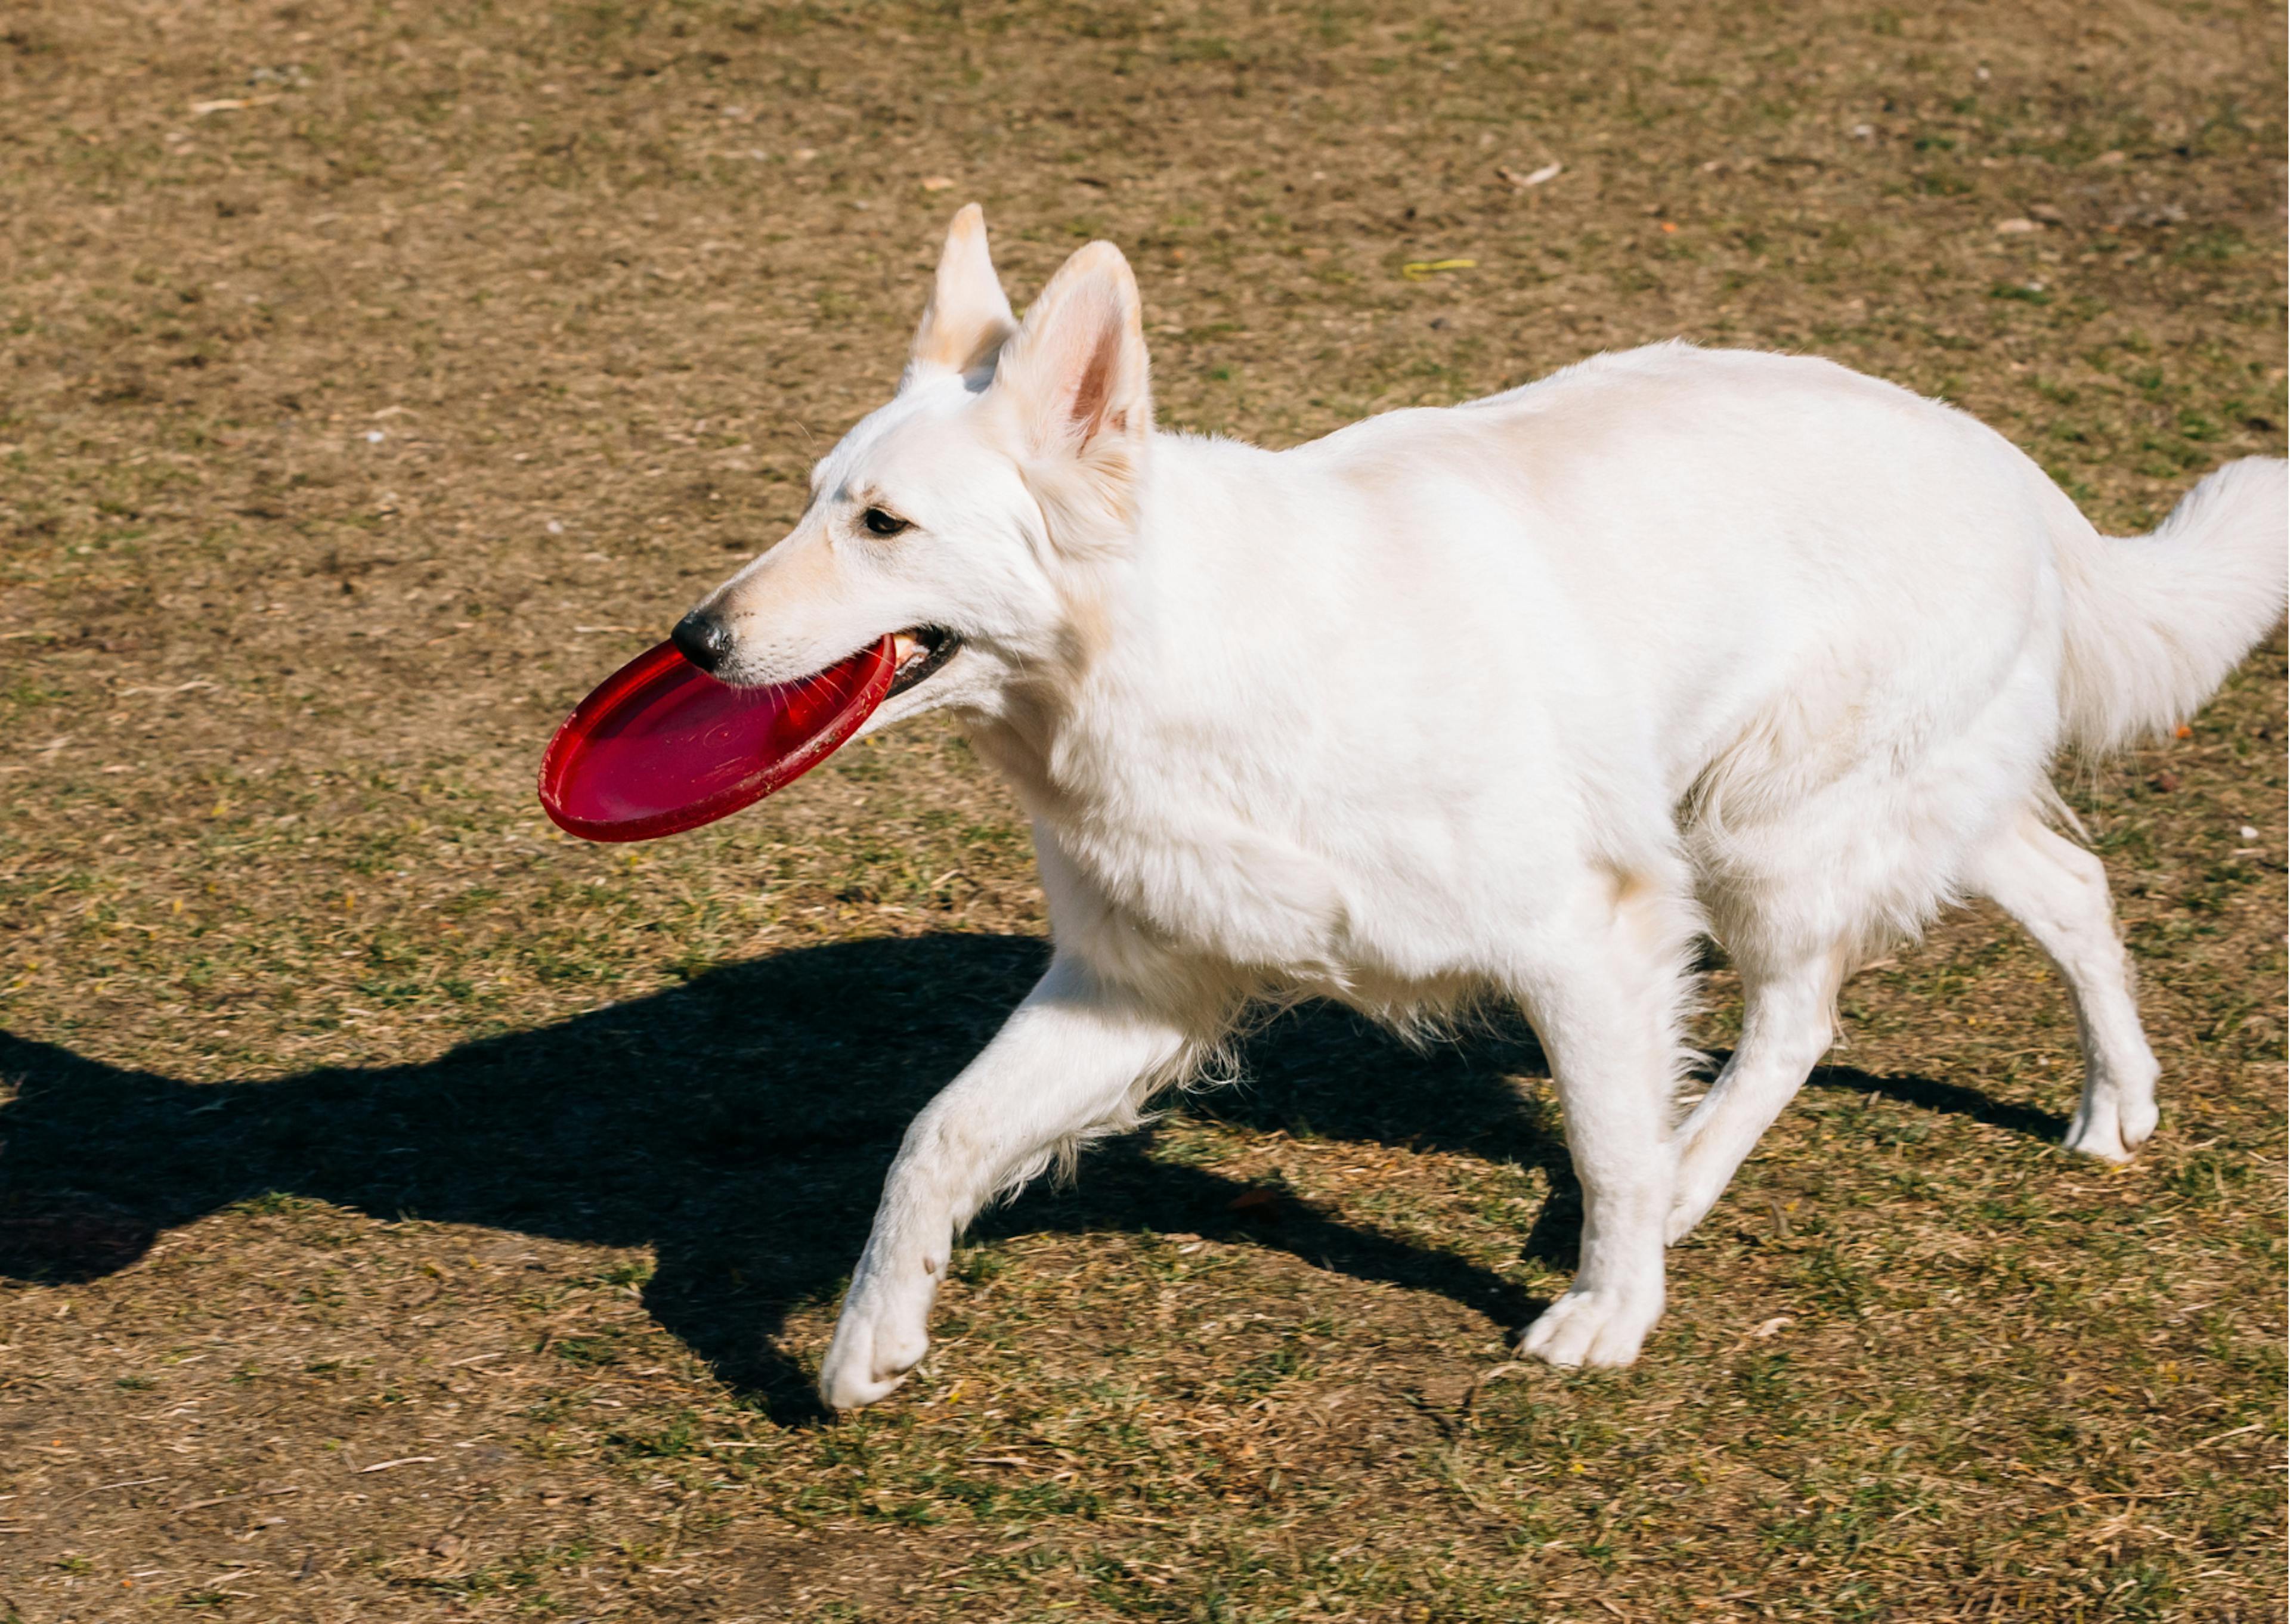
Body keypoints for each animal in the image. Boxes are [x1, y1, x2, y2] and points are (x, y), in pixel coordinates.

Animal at [669, 206, 2280, 1402]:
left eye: (885, 526)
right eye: (814, 498)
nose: (692, 641)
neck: (1179, 653)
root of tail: (2005, 463)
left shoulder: (1590, 936)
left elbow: (1609, 1142)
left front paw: (1612, 1307)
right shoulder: (1137, 989)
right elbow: (934, 1135)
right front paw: (872, 1334)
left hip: (1758, 828)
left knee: (1797, 1017)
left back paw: (1692, 1183)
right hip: (1875, 805)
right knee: (2065, 887)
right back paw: (2113, 1103)